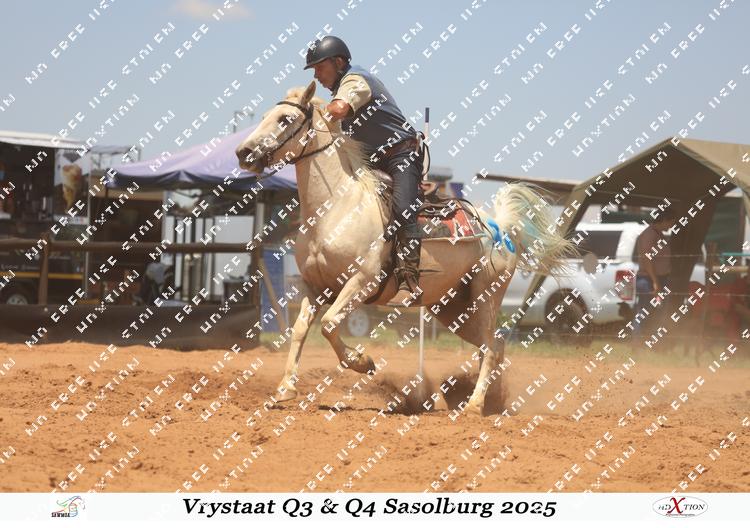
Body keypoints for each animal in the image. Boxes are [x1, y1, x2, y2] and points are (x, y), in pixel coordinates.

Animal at [236, 81, 575, 415]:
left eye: (285, 119)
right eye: (264, 116)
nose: (243, 152)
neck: (336, 208)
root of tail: (500, 227)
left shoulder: (362, 281)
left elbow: (330, 324)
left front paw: (363, 362)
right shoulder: (314, 286)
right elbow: (300, 330)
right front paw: (285, 389)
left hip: (485, 296)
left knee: (491, 347)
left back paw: (475, 404)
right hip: (454, 309)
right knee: (492, 346)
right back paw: (488, 400)